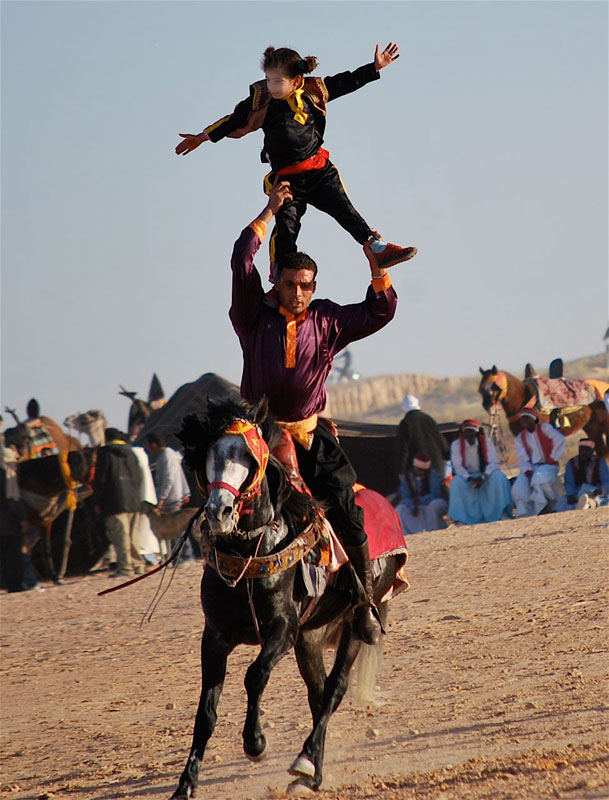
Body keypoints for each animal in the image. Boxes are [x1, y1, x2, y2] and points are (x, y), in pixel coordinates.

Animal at [165, 400, 408, 800]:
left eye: (247, 457)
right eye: (211, 454)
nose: (219, 512)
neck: (253, 551)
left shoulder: (282, 629)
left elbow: (255, 675)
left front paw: (255, 743)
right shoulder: (215, 637)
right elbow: (206, 713)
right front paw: (185, 786)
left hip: (352, 626)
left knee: (335, 689)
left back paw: (306, 761)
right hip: (309, 639)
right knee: (319, 693)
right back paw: (312, 772)